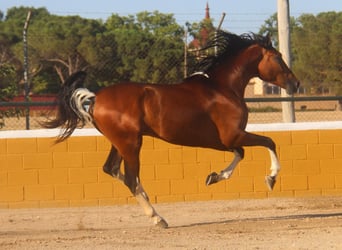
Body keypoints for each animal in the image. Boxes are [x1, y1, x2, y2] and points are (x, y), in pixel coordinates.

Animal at [43, 30, 300, 228]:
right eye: (277, 58)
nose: (295, 83)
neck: (223, 88)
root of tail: (95, 98)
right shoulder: (233, 135)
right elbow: (269, 142)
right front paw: (271, 178)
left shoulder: (225, 141)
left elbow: (241, 154)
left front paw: (213, 177)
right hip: (131, 144)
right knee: (131, 179)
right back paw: (158, 219)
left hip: (119, 143)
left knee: (112, 170)